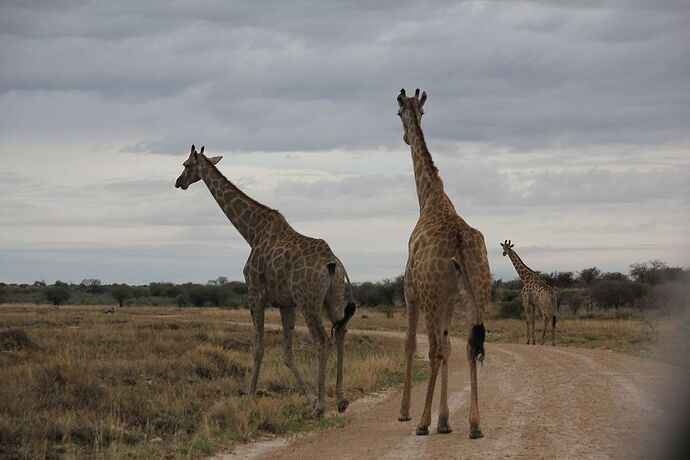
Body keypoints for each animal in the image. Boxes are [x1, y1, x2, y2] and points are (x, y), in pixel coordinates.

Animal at [175, 145, 354, 416]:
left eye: (186, 165)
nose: (178, 182)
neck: (251, 231)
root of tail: (332, 264)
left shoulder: (255, 294)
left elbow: (258, 349)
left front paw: (250, 394)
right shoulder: (286, 304)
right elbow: (287, 353)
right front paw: (310, 397)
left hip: (309, 301)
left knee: (322, 340)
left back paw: (322, 408)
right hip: (333, 297)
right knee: (341, 332)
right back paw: (341, 400)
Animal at [392, 89, 490, 438]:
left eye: (398, 113)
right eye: (418, 110)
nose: (406, 136)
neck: (430, 199)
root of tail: (460, 243)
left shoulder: (411, 291)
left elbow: (411, 344)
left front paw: (408, 412)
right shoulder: (447, 298)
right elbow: (450, 347)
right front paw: (446, 420)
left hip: (432, 296)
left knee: (434, 349)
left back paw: (422, 422)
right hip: (479, 293)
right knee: (470, 346)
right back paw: (474, 424)